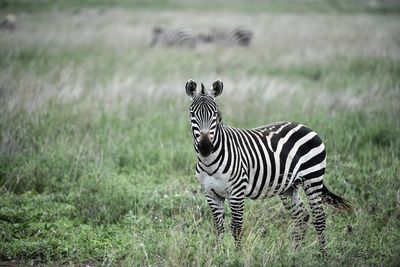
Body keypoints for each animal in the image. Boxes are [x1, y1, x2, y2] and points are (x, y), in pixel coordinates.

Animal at [185, 79, 354, 255]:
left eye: (215, 114)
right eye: (192, 114)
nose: (205, 147)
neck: (209, 163)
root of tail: (305, 126)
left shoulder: (237, 193)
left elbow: (236, 227)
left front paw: (237, 256)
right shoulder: (211, 194)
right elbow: (218, 228)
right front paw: (218, 254)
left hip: (312, 179)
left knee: (319, 217)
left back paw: (323, 255)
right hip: (289, 187)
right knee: (301, 216)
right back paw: (295, 254)